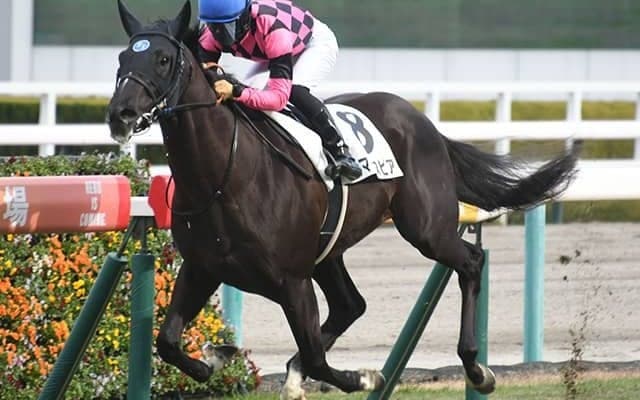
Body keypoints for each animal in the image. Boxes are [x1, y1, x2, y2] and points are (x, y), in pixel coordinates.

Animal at [107, 1, 578, 398]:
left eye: (162, 60)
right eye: (122, 60)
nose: (119, 115)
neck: (224, 175)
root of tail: (422, 121)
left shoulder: (292, 280)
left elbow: (318, 358)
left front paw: (363, 377)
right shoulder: (202, 268)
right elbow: (166, 341)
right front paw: (214, 360)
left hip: (425, 228)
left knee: (470, 263)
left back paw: (477, 369)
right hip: (328, 250)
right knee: (351, 304)